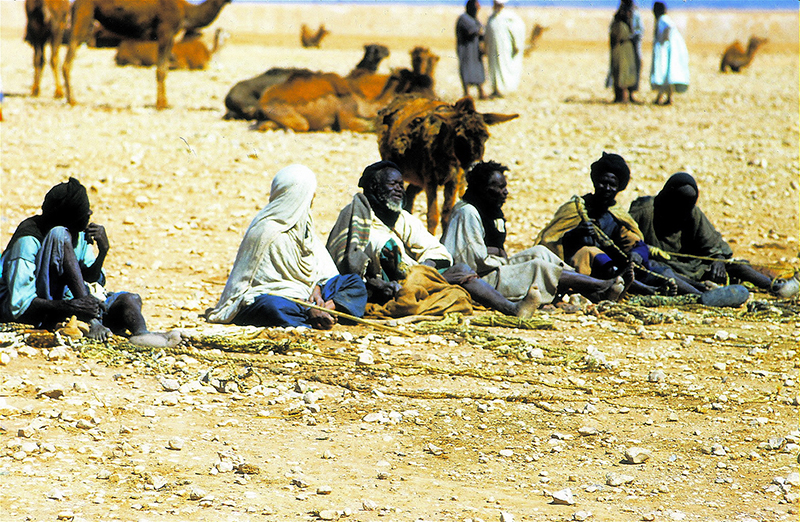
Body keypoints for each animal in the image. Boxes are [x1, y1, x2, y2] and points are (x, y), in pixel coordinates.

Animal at [64, 0, 231, 108]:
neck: (186, 11)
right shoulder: (165, 32)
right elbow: (161, 70)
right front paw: (160, 104)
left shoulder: (170, 37)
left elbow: (164, 69)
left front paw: (165, 102)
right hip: (84, 14)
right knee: (69, 55)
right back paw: (72, 100)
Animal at [380, 96, 520, 234]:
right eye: (461, 137)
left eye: (485, 136)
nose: (475, 165)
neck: (444, 153)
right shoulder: (430, 181)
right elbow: (433, 216)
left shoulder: (453, 181)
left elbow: (447, 215)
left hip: (418, 180)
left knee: (410, 194)